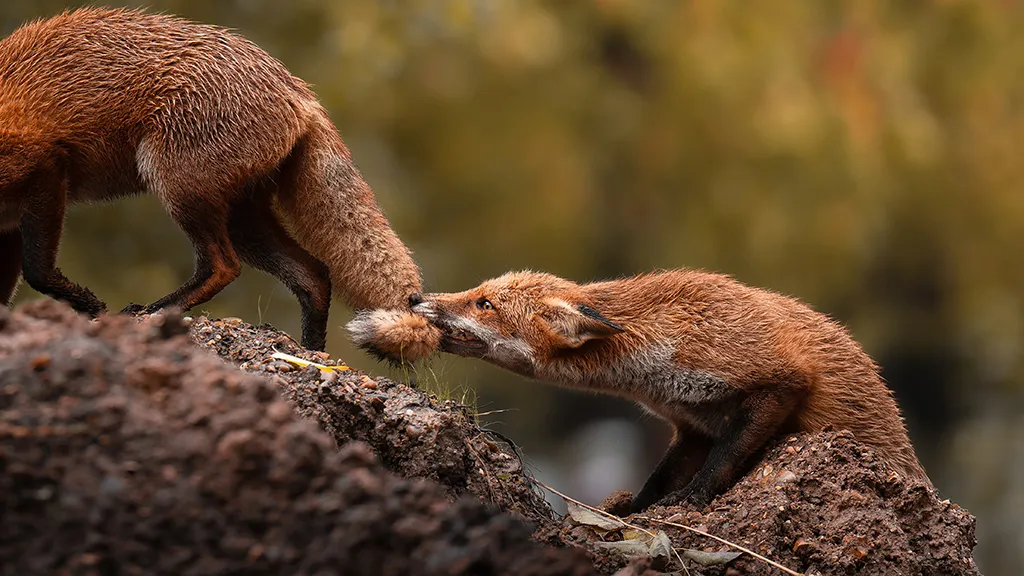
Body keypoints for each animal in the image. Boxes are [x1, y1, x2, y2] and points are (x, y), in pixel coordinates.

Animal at [0, 8, 431, 357]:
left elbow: (37, 272)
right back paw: (311, 352)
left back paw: (155, 312)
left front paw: (88, 305)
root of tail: (298, 90)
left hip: (177, 186)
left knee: (223, 267)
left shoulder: (45, 171)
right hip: (242, 219)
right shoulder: (8, 222)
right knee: (314, 276)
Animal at [351, 269, 932, 511]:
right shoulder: (692, 425)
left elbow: (722, 462)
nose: (416, 298)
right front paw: (632, 512)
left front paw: (693, 501)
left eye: (483, 303)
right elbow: (657, 481)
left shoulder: (777, 381)